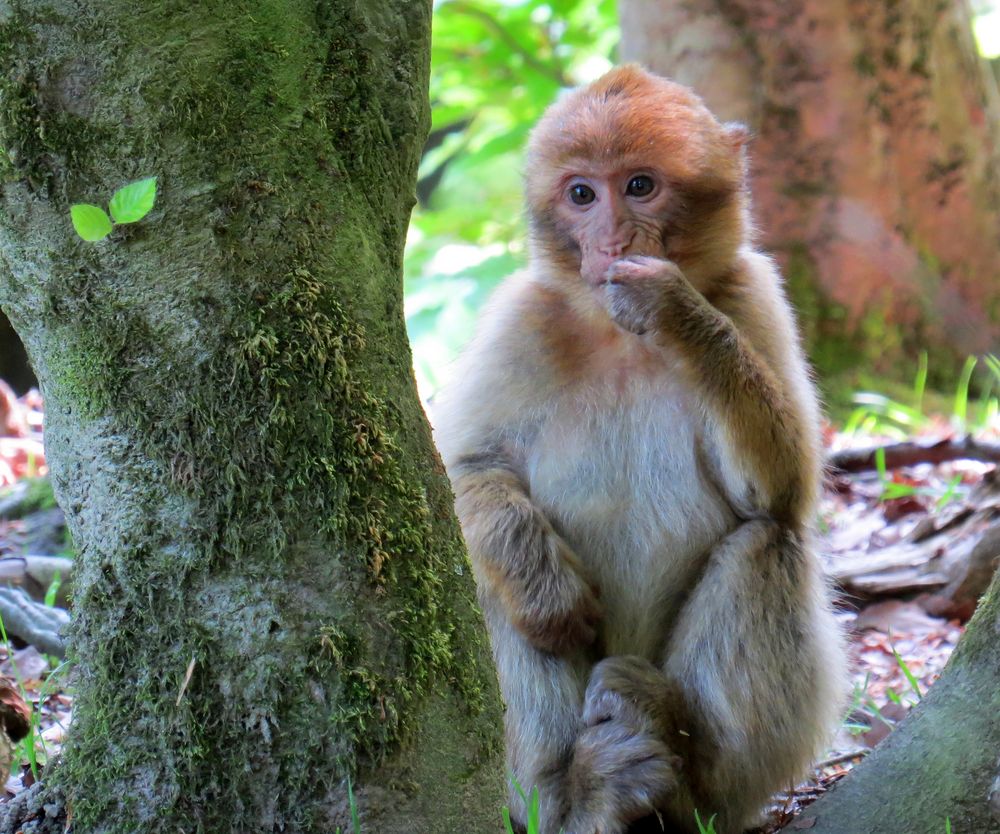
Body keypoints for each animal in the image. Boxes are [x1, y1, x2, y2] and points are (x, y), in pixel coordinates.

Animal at [434, 66, 848, 832]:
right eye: (581, 194)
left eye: (639, 186)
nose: (612, 238)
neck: (615, 336)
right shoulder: (520, 317)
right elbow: (463, 472)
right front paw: (544, 589)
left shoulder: (755, 293)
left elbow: (785, 489)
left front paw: (676, 312)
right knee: (493, 588)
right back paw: (582, 796)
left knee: (768, 543)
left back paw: (681, 772)